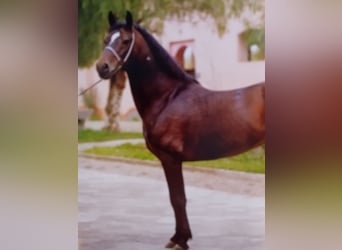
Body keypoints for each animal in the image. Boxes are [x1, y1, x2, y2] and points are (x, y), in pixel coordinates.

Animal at [96, 10, 264, 249]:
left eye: (126, 40)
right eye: (105, 40)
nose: (102, 67)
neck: (167, 97)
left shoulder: (171, 159)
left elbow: (177, 199)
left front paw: (180, 239)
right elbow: (176, 198)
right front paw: (179, 237)